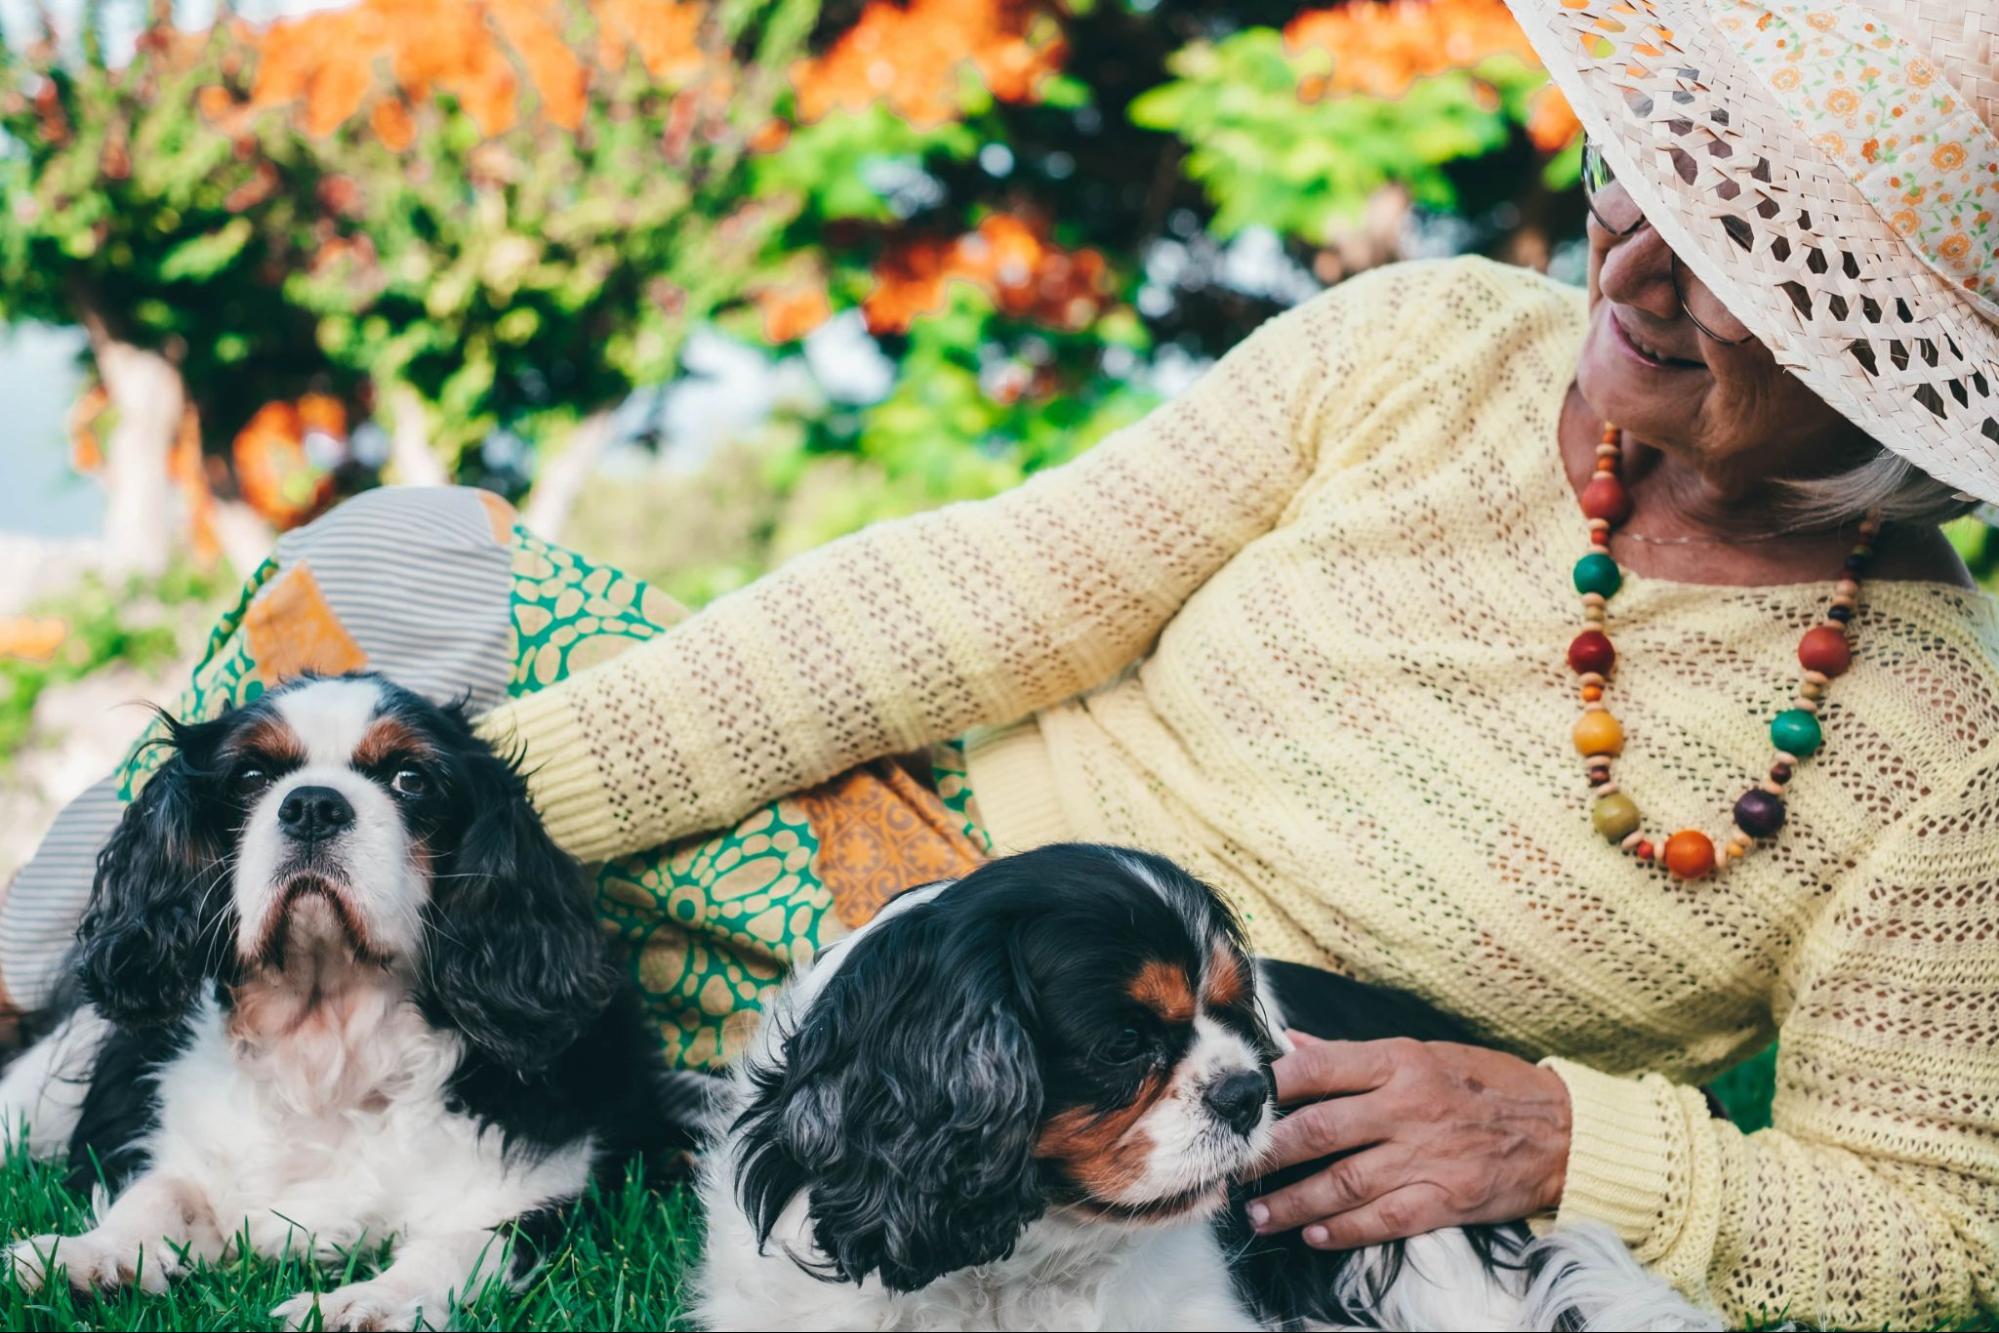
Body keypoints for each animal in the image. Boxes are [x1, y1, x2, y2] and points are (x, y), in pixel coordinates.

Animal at [0, 679, 683, 1333]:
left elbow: (459, 1247)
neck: (324, 1045)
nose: (313, 806)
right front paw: (92, 1256)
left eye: (411, 779)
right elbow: (157, 1193)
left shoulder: (540, 1193)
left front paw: (370, 1303)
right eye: (250, 776)